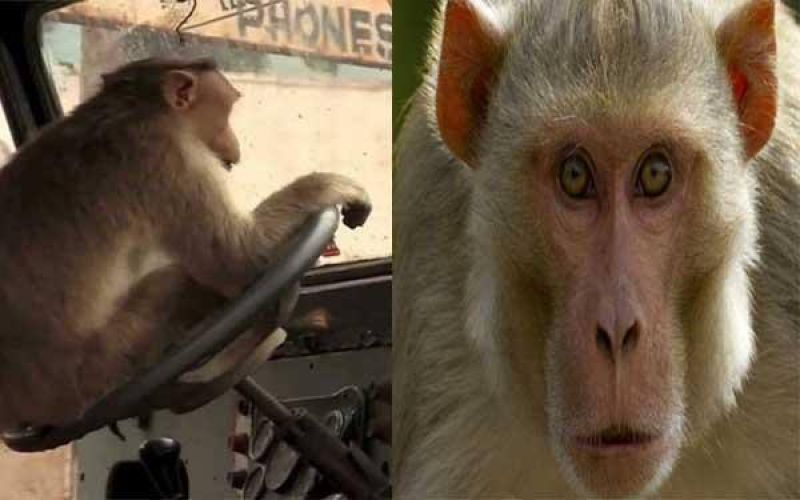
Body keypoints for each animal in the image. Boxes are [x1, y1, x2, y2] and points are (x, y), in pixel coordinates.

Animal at [0, 57, 371, 431]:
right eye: (227, 112)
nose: (236, 146)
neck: (133, 106)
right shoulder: (167, 154)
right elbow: (240, 256)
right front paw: (331, 186)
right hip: (99, 366)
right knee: (173, 282)